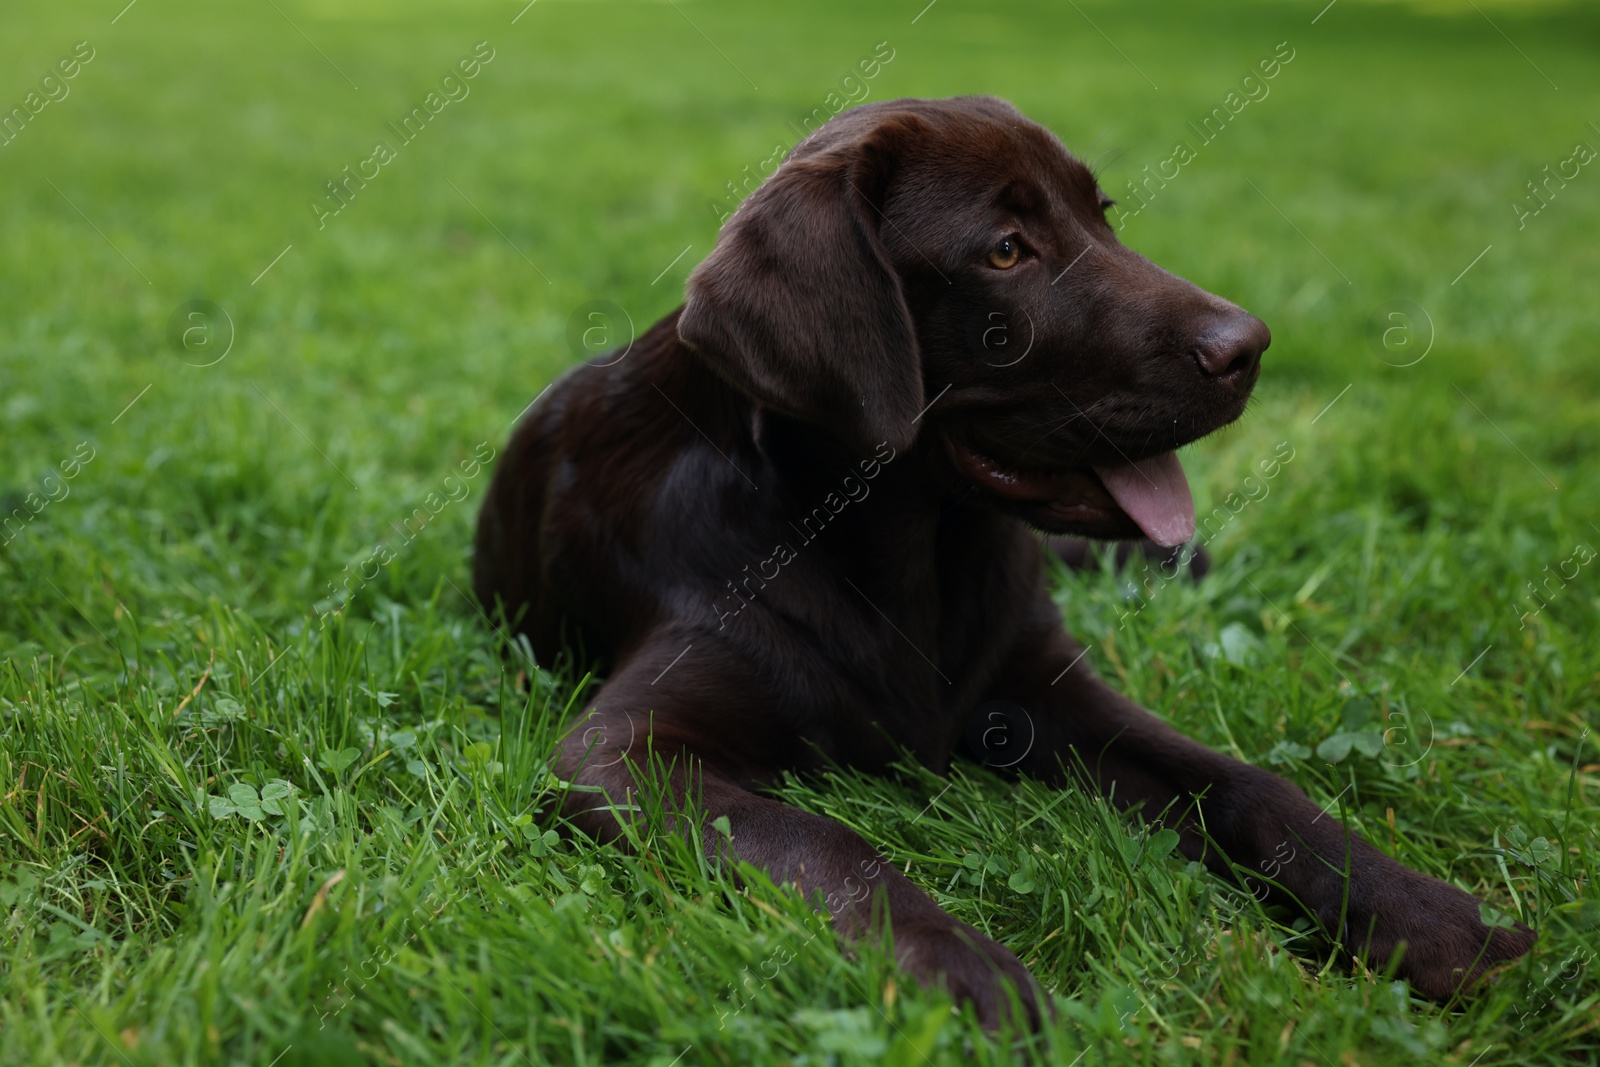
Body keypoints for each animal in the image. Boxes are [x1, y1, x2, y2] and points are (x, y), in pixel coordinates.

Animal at [473, 97, 1536, 1023]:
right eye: (1006, 251)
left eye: (1102, 214)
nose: (1250, 347)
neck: (904, 555)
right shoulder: (621, 752)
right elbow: (827, 844)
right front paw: (968, 973)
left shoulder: (1037, 686)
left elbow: (1245, 780)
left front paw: (1426, 914)